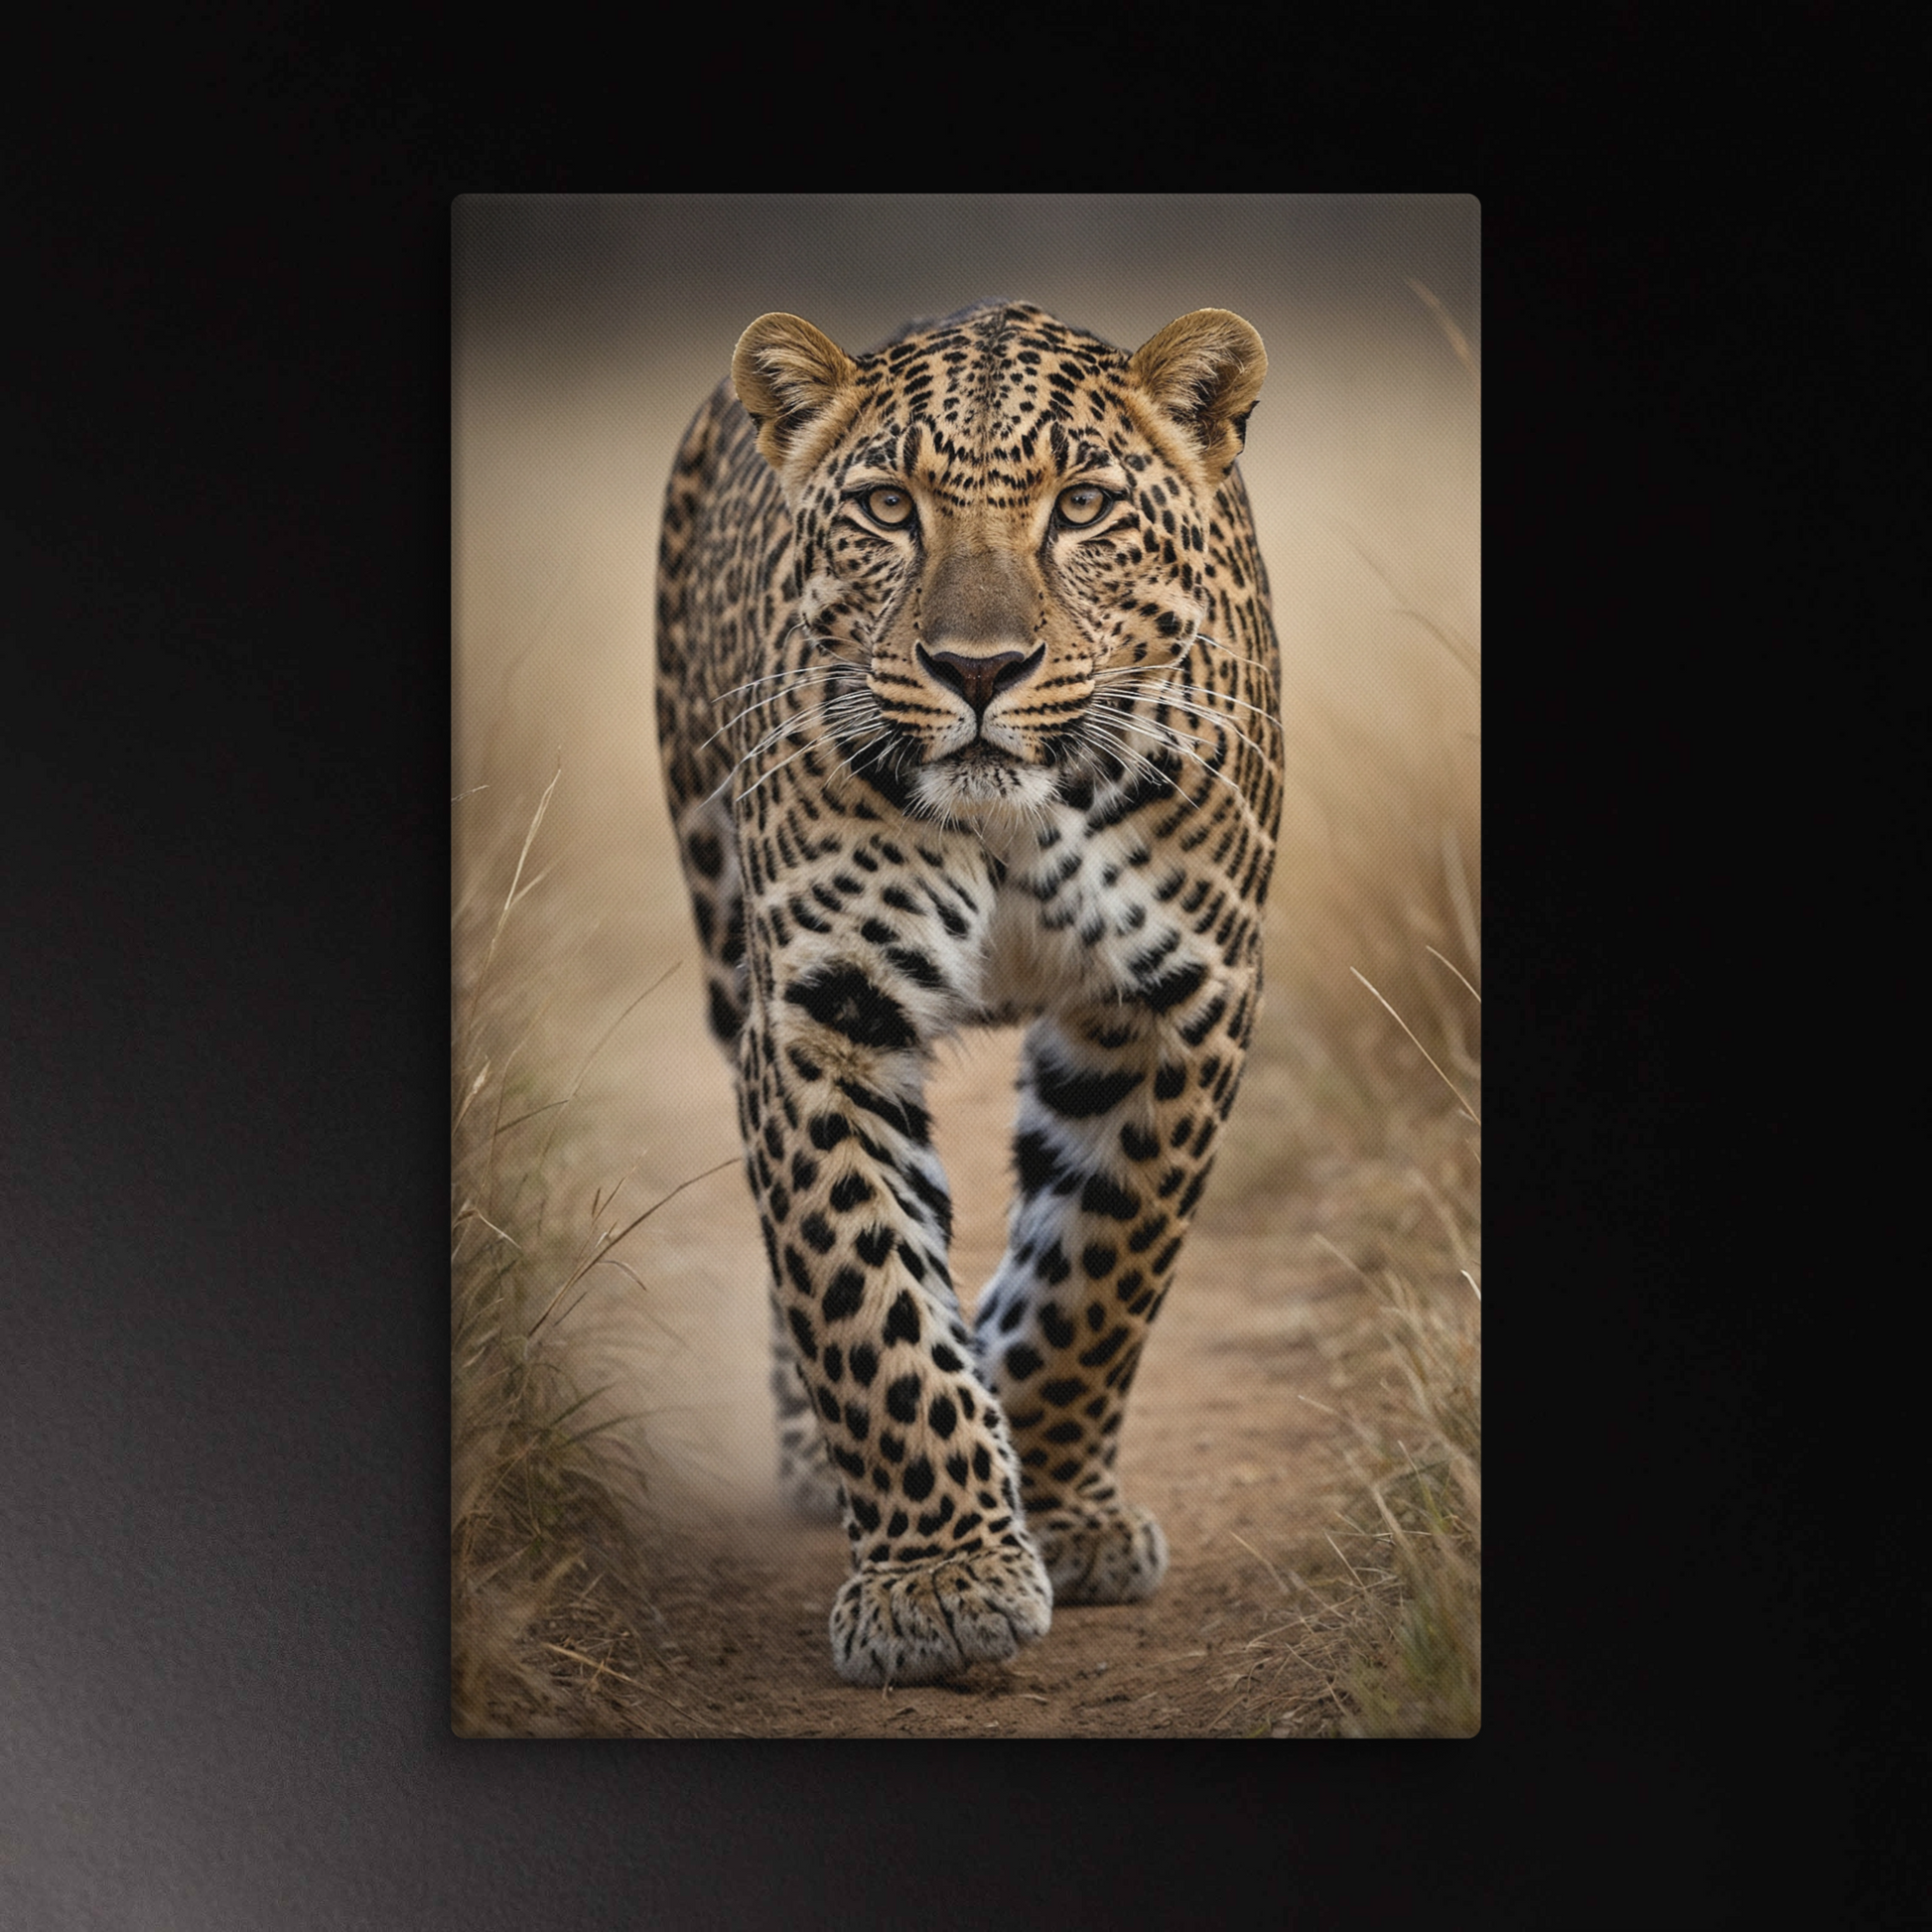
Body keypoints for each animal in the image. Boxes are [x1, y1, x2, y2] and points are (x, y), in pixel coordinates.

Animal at [654, 298, 1283, 1686]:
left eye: (1082, 505)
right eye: (889, 507)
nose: (977, 668)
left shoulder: (1177, 997)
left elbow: (1099, 1268)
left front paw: (1052, 1504)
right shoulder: (819, 1011)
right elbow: (859, 1290)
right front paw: (939, 1582)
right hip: (721, 918)